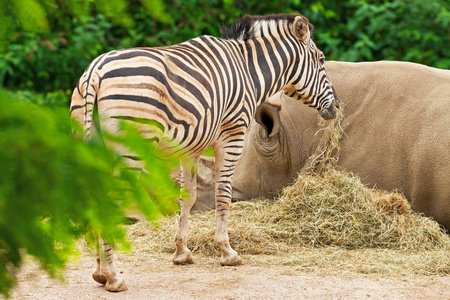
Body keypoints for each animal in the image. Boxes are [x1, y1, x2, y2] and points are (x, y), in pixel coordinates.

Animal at [70, 12, 338, 292]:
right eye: (321, 60)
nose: (337, 107)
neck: (249, 71)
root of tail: (95, 70)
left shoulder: (192, 147)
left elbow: (187, 197)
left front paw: (182, 253)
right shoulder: (232, 135)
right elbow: (223, 194)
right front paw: (227, 251)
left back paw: (99, 273)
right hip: (131, 147)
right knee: (111, 202)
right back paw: (113, 276)